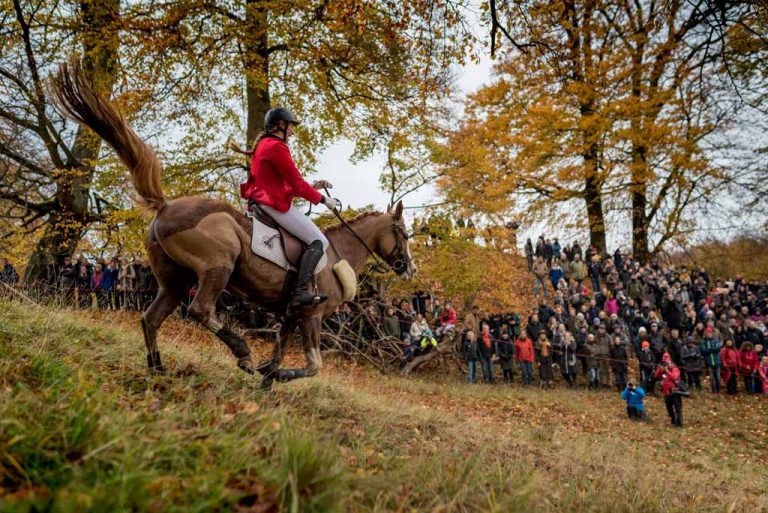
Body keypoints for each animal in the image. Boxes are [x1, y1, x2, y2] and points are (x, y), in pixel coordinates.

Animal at [51, 59, 416, 388]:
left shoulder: (290, 316)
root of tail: (166, 205)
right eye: (404, 234)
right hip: (217, 267)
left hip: (174, 280)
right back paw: (242, 353)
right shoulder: (311, 315)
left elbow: (281, 352)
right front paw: (273, 373)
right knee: (200, 310)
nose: (409, 269)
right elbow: (314, 365)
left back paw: (158, 370)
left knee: (151, 318)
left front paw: (269, 378)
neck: (340, 251)